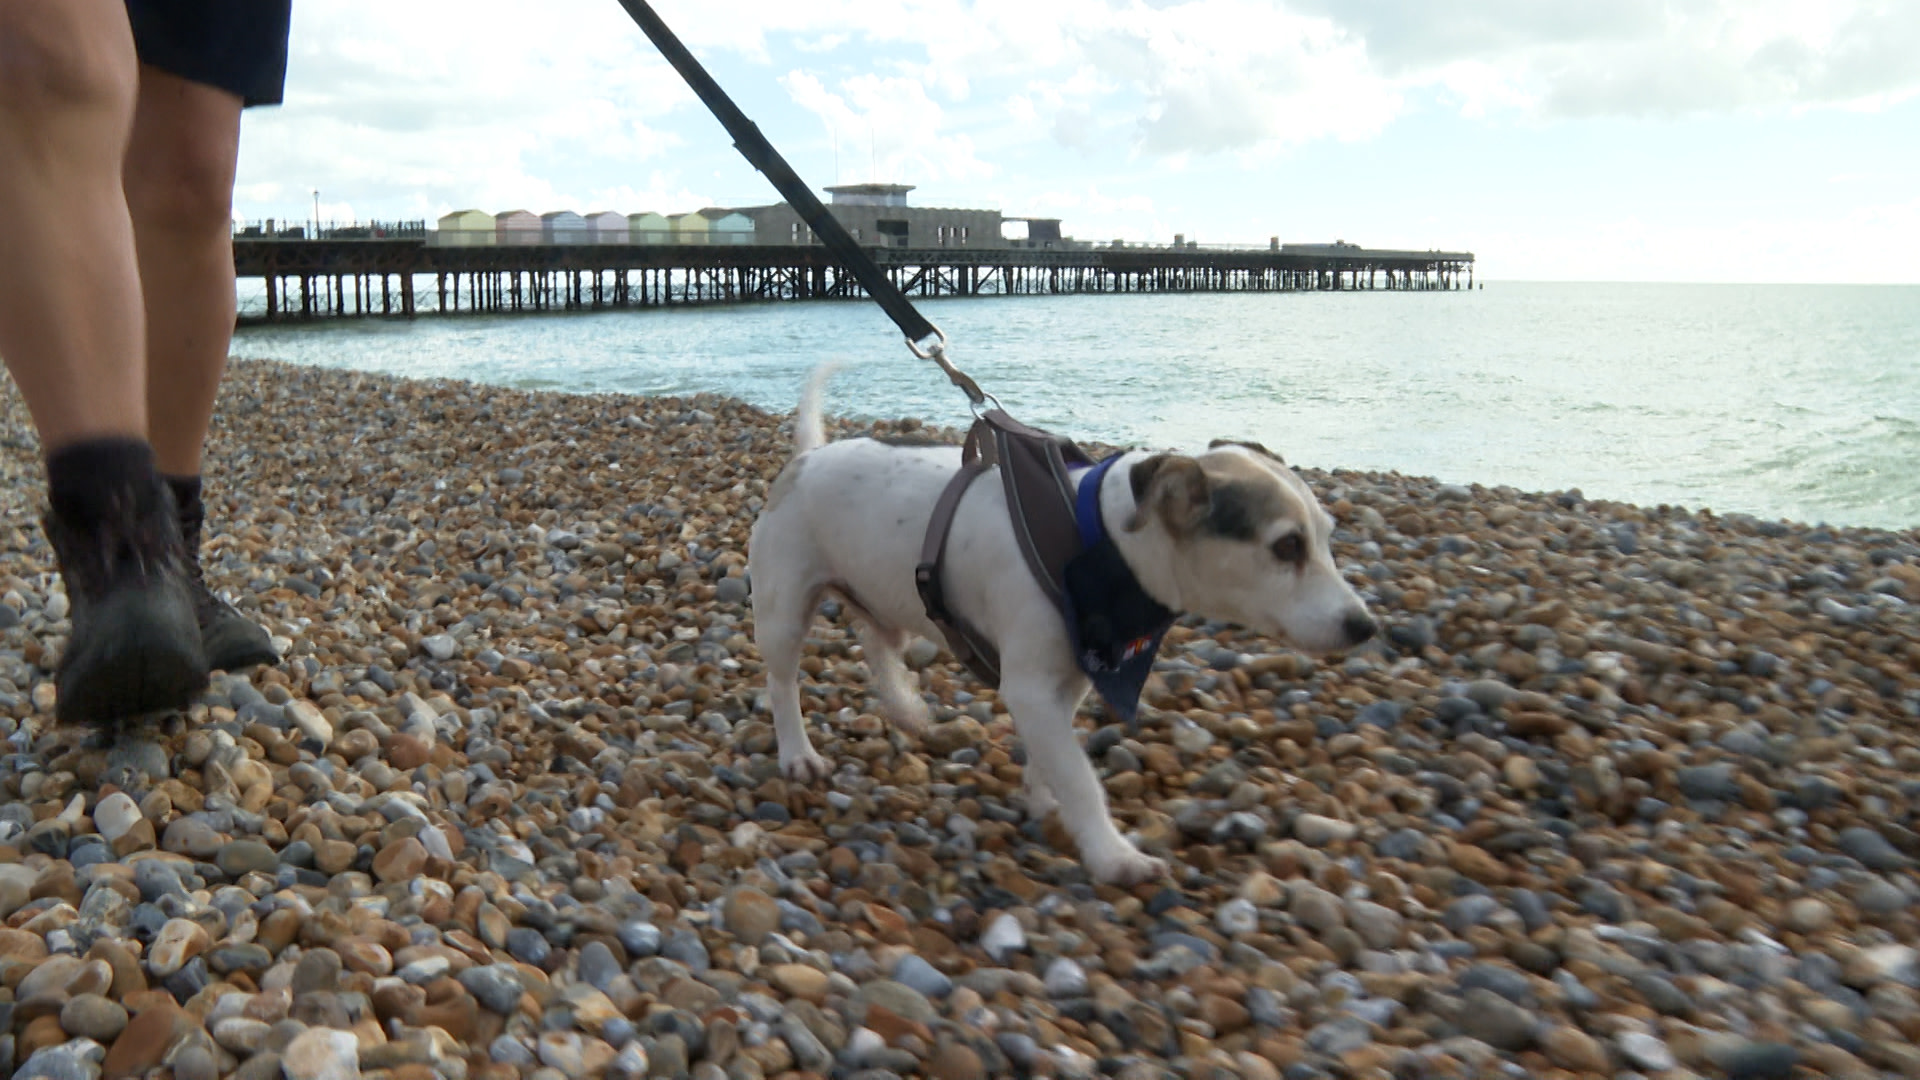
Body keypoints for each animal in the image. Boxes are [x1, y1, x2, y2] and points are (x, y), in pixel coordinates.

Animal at [748, 365, 1382, 880]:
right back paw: (798, 754)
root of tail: (806, 458)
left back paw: (904, 709)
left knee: (878, 643)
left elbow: (1056, 756)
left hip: (886, 591)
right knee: (782, 684)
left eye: (1327, 536)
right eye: (1287, 547)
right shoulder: (1031, 686)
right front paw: (1113, 856)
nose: (1365, 628)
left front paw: (1044, 798)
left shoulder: (1073, 675)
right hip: (783, 611)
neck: (1099, 544)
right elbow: (1080, 775)